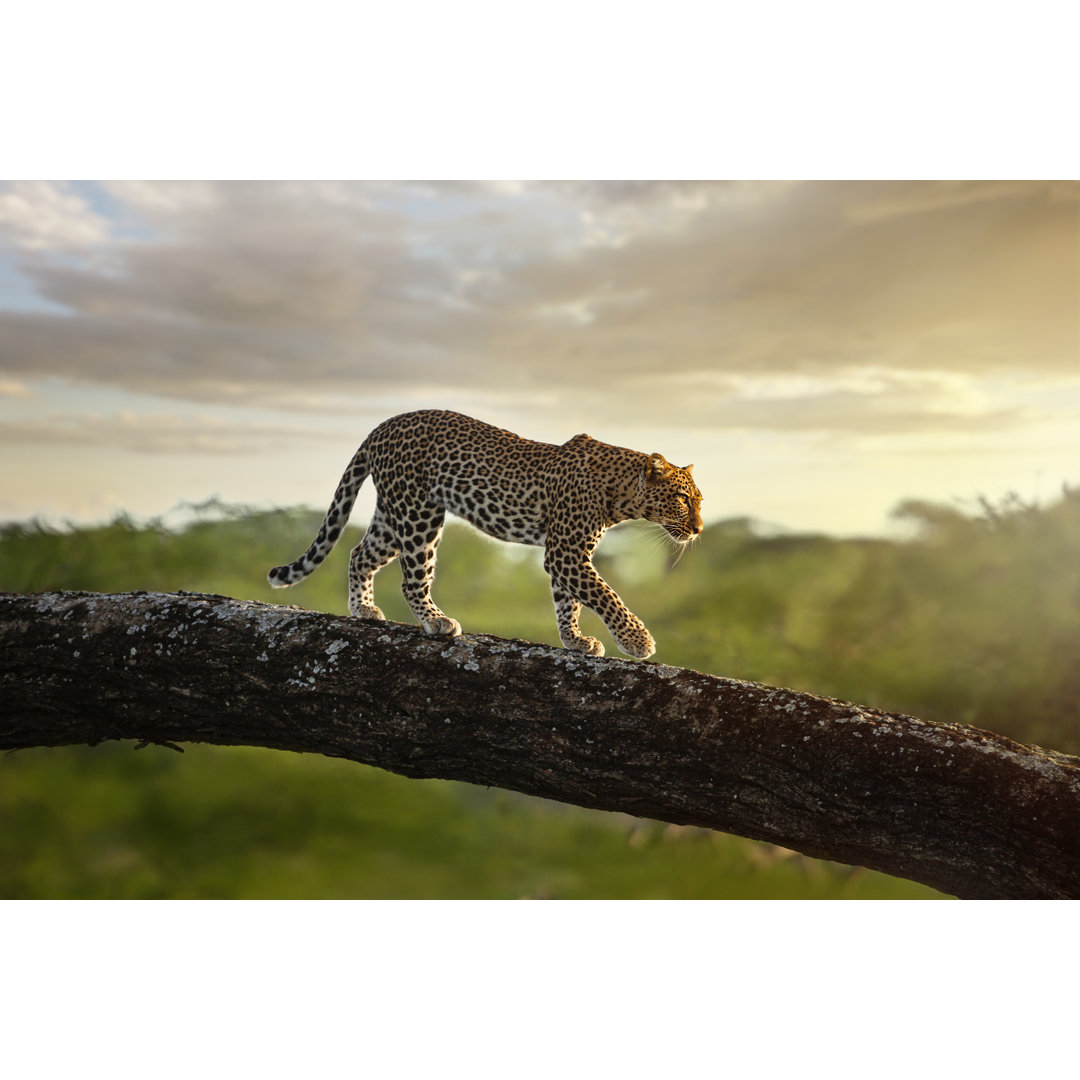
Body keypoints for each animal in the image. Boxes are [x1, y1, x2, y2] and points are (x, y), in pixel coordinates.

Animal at [266, 410, 704, 656]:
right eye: (683, 499)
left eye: (698, 500)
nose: (699, 528)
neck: (623, 495)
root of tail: (383, 425)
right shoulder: (565, 551)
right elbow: (605, 595)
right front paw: (637, 642)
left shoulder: (567, 554)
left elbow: (570, 602)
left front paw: (575, 640)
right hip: (418, 514)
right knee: (412, 579)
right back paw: (436, 622)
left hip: (393, 515)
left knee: (360, 554)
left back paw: (363, 609)